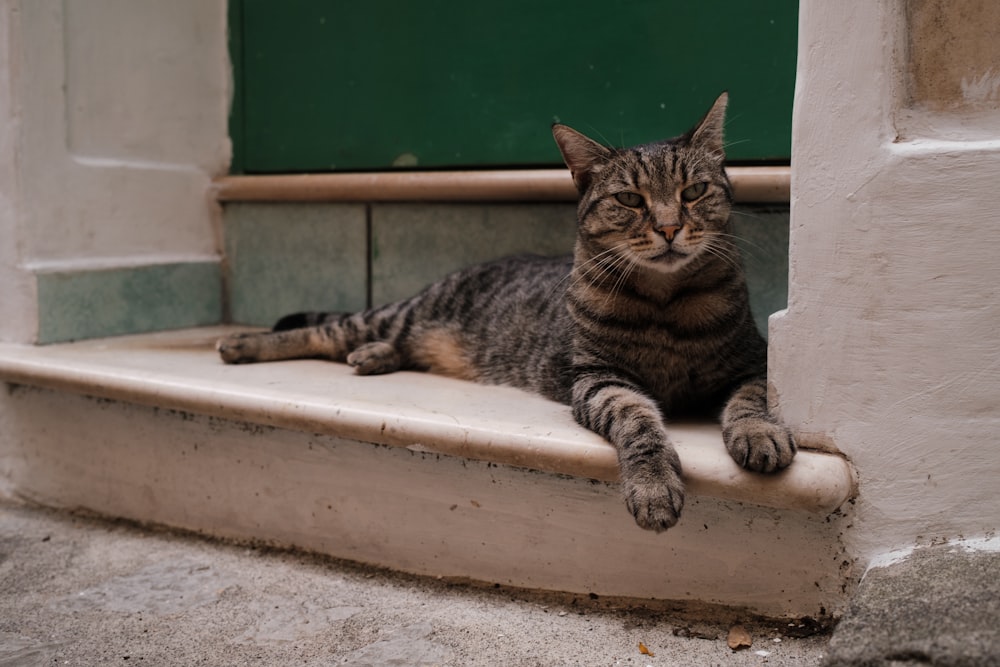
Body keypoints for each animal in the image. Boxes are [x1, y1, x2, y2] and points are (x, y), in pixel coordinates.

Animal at [219, 92, 796, 532]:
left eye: (693, 191)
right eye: (630, 200)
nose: (671, 226)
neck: (666, 301)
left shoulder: (753, 359)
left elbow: (752, 399)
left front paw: (758, 434)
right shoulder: (598, 379)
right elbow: (637, 421)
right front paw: (654, 486)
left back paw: (373, 356)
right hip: (398, 314)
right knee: (326, 331)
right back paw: (246, 345)